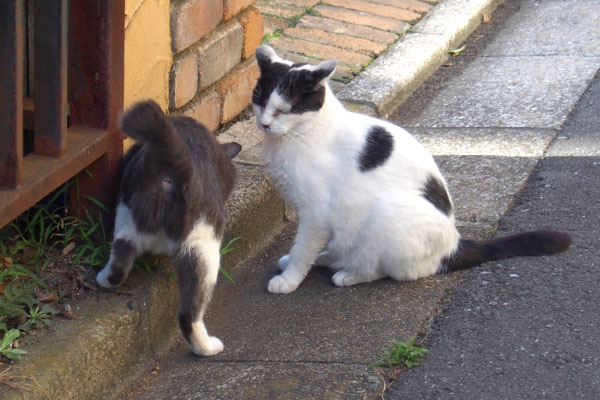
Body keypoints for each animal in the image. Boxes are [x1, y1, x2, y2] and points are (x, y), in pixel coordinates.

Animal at [96, 101, 241, 356]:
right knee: (189, 313)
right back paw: (207, 347)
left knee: (121, 258)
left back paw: (103, 279)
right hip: (203, 243)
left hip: (129, 214)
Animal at [253, 45, 572, 296]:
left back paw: (349, 274)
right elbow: (303, 248)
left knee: (381, 268)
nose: (265, 124)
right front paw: (295, 263)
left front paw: (289, 280)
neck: (302, 133)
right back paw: (326, 258)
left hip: (386, 214)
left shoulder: (315, 214)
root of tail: (454, 244)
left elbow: (303, 248)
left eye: (283, 110)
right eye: (259, 100)